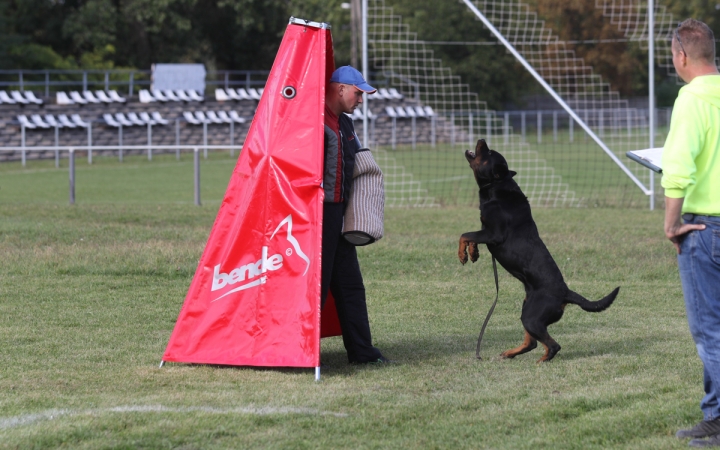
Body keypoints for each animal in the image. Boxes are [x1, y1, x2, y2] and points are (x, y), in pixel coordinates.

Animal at [462, 139, 620, 364]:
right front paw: (472, 254)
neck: (496, 187)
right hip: (527, 309)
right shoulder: (484, 231)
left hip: (531, 316)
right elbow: (470, 238)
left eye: (489, 153)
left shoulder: (493, 234)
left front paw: (462, 254)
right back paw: (511, 353)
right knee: (532, 343)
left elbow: (464, 234)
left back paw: (542, 361)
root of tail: (565, 293)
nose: (482, 140)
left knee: (552, 345)